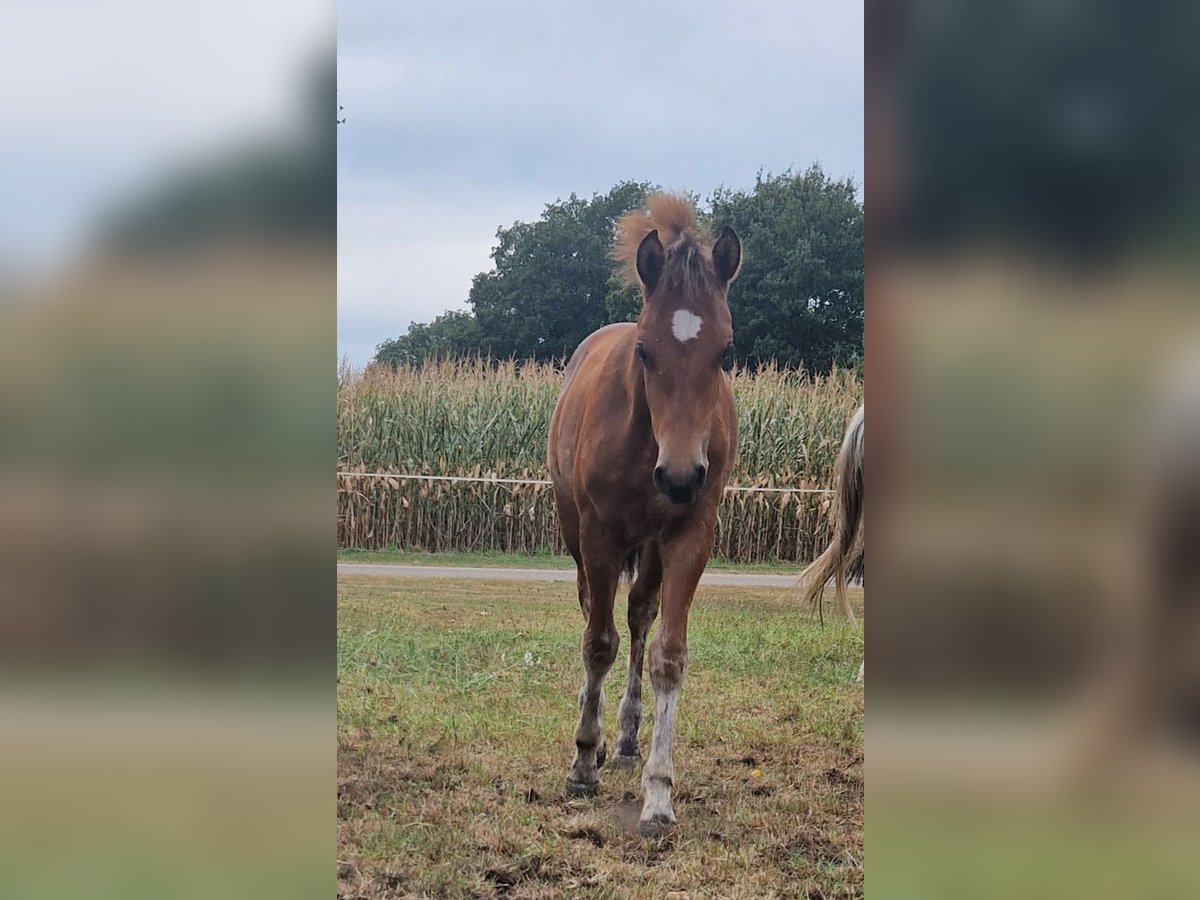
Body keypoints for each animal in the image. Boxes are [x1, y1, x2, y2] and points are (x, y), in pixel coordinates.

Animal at [547, 194, 741, 836]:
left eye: (725, 351)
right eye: (644, 349)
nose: (681, 477)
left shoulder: (691, 534)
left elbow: (667, 655)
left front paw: (658, 793)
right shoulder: (600, 534)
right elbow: (596, 644)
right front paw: (583, 762)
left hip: (653, 548)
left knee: (638, 615)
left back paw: (629, 737)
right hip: (578, 535)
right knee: (595, 615)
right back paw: (598, 730)